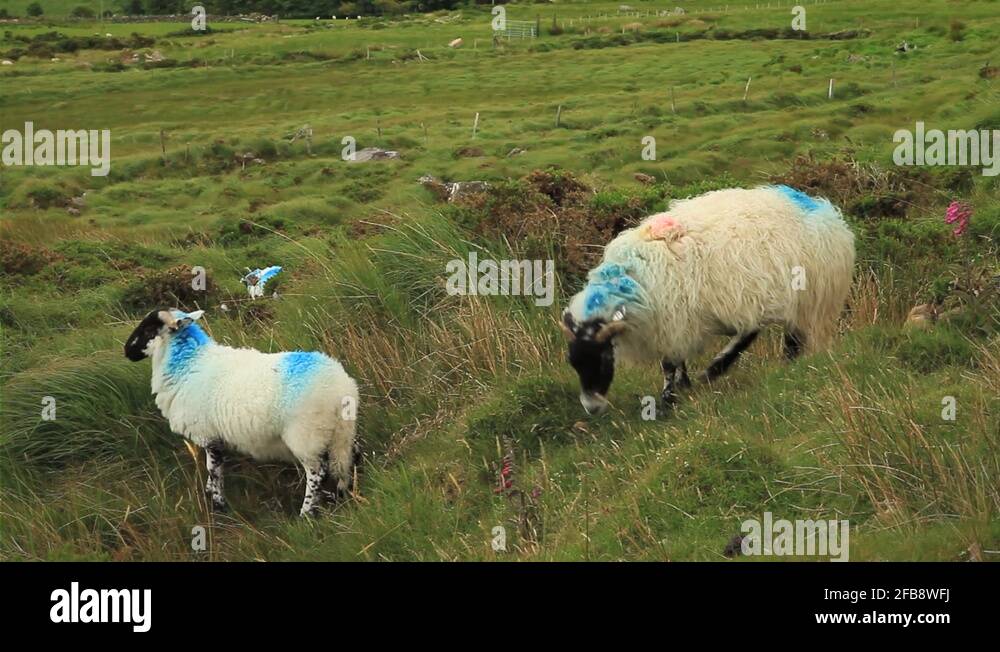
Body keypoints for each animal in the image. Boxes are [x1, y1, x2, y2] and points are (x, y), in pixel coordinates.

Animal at [124, 308, 359, 516]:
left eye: (149, 329)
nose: (126, 351)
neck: (188, 363)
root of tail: (341, 387)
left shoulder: (209, 436)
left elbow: (214, 470)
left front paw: (219, 506)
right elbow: (213, 470)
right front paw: (210, 492)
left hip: (307, 437)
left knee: (317, 474)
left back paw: (306, 514)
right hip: (341, 433)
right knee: (350, 457)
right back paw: (344, 493)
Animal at [561, 185, 855, 415]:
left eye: (602, 359)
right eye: (573, 363)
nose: (592, 408)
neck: (631, 281)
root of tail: (824, 210)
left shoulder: (674, 317)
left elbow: (669, 364)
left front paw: (669, 400)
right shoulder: (674, 321)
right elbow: (677, 361)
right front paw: (684, 387)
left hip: (803, 298)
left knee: (767, 334)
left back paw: (720, 369)